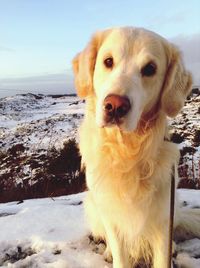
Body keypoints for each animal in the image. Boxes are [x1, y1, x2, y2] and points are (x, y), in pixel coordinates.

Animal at [72, 27, 200, 268]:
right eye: (108, 61)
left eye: (150, 69)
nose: (115, 106)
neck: (127, 151)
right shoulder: (113, 216)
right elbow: (120, 254)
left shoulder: (163, 218)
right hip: (93, 205)